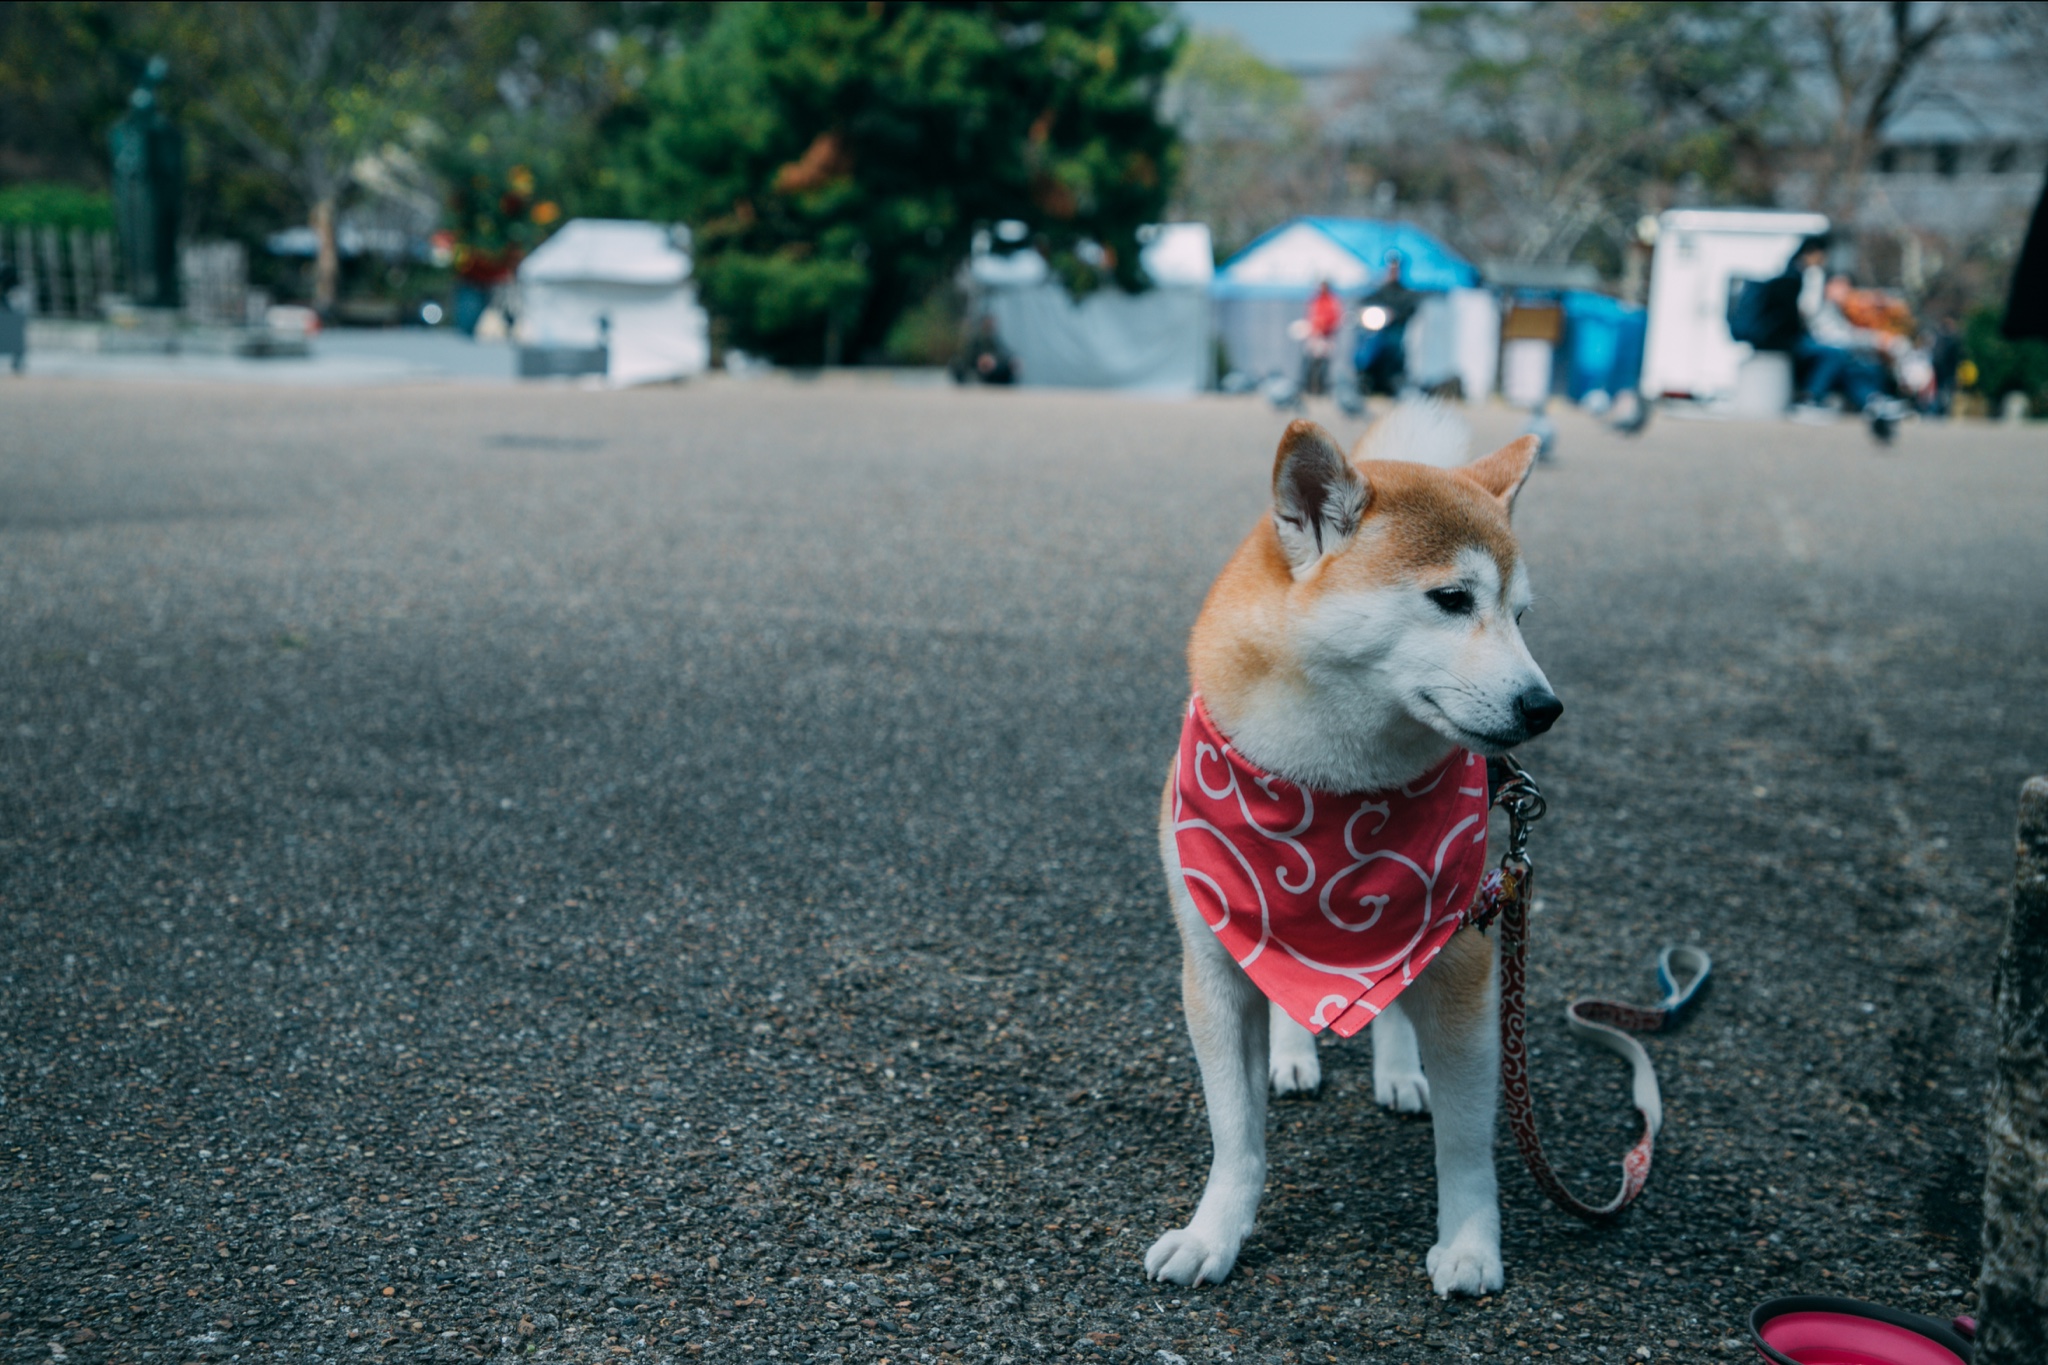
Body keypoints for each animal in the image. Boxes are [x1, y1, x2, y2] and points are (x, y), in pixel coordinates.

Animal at [1146, 401, 1556, 1301]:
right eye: (1451, 598)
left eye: (1522, 616)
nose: (1544, 705)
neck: (1325, 790)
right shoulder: (1215, 964)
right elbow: (1236, 1137)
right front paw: (1214, 1234)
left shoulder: (1466, 964)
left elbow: (1465, 1146)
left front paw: (1469, 1244)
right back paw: (1296, 1054)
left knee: (1394, 1003)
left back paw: (1400, 1071)